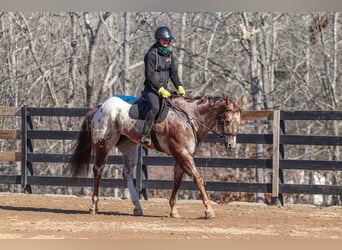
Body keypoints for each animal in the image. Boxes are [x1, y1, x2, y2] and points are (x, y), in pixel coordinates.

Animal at [67, 95, 243, 219]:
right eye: (227, 120)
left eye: (239, 121)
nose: (231, 145)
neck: (188, 118)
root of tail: (100, 106)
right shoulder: (182, 154)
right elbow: (197, 178)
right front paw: (208, 210)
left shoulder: (182, 155)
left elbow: (177, 181)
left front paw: (173, 209)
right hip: (104, 144)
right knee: (98, 170)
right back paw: (93, 205)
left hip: (129, 146)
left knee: (127, 173)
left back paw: (137, 207)